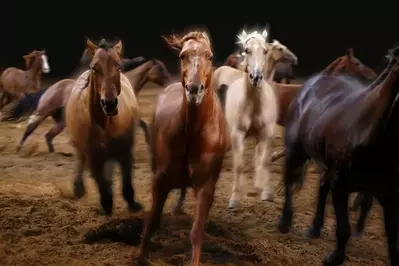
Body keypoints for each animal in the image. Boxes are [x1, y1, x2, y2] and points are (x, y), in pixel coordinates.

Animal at [66, 38, 145, 215]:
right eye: (94, 68)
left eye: (119, 66)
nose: (109, 104)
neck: (106, 125)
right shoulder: (93, 158)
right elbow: (101, 183)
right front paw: (107, 205)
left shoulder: (126, 152)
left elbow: (127, 180)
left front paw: (132, 204)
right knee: (82, 159)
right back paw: (78, 188)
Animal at [133, 30, 228, 266]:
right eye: (182, 56)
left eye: (210, 56)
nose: (194, 89)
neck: (192, 134)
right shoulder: (159, 179)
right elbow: (152, 219)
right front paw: (139, 254)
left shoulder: (206, 186)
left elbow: (197, 231)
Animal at [223, 29, 280, 208]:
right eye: (247, 50)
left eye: (265, 51)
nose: (256, 77)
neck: (254, 104)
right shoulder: (237, 134)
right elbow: (239, 165)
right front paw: (234, 198)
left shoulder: (268, 133)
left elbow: (265, 161)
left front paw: (266, 193)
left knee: (258, 157)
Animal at [278, 45, 399, 266]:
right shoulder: (341, 185)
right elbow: (343, 229)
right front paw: (335, 257)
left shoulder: (391, 196)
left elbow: (394, 243)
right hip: (295, 149)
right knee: (290, 179)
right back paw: (285, 221)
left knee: (321, 186)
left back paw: (315, 228)